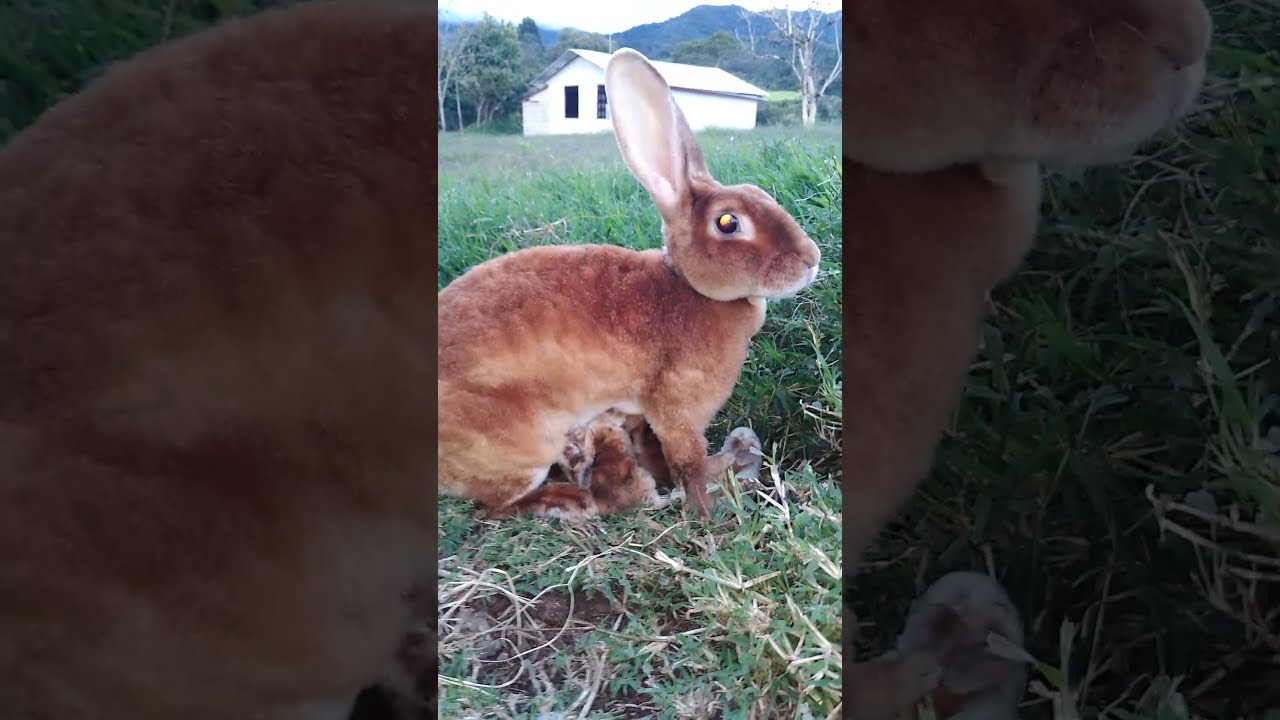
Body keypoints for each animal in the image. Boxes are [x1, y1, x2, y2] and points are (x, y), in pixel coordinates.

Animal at [438, 48, 821, 522]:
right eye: (728, 222)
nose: (811, 260)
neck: (688, 287)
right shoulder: (677, 407)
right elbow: (687, 460)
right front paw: (706, 507)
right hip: (524, 447)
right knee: (493, 507)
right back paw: (568, 499)